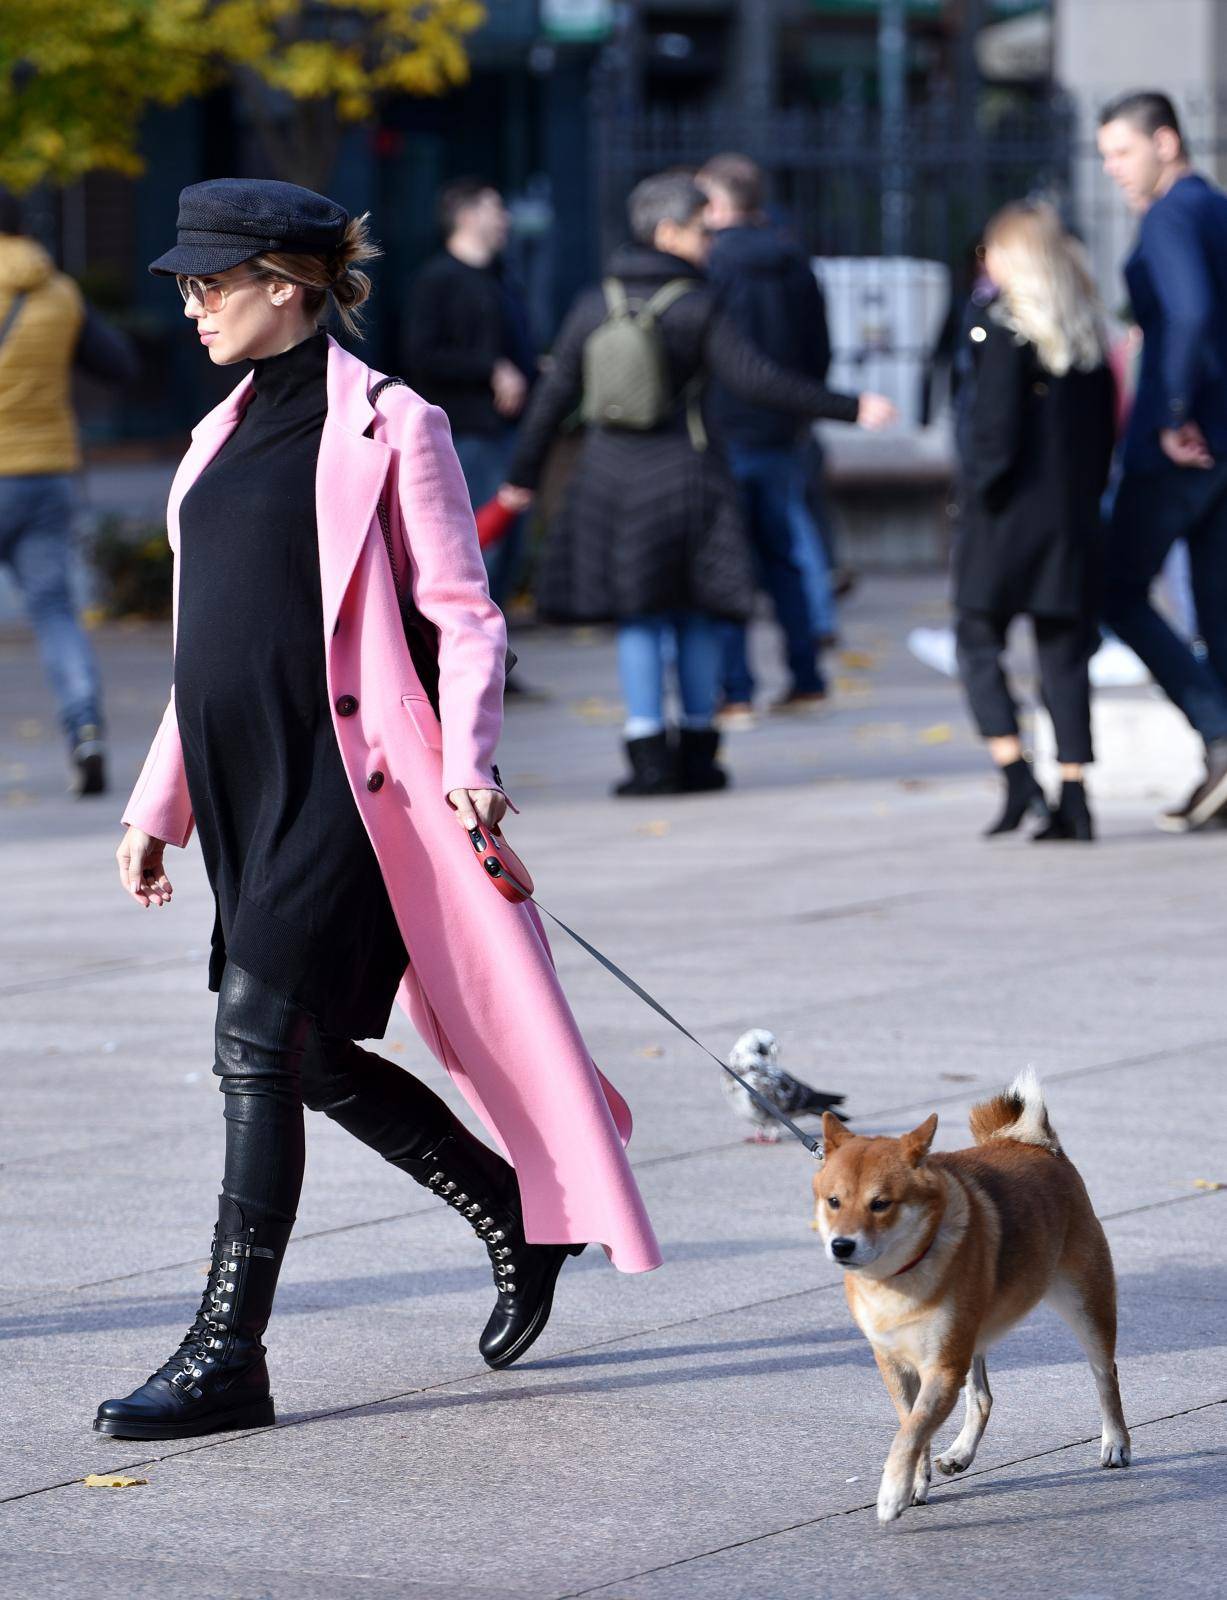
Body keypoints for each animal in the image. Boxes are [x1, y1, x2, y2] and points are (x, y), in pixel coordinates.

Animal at [815, 1075, 1132, 1523]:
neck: (899, 1277)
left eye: (880, 1204)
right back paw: (960, 1454)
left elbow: (910, 1433)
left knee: (1106, 1375)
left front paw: (892, 1492)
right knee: (982, 1398)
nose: (841, 1245)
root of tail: (1037, 1145)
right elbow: (912, 1426)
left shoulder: (944, 1367)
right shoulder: (896, 1362)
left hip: (1086, 1305)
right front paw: (915, 1483)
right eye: (834, 1201)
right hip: (973, 1336)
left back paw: (1115, 1443)